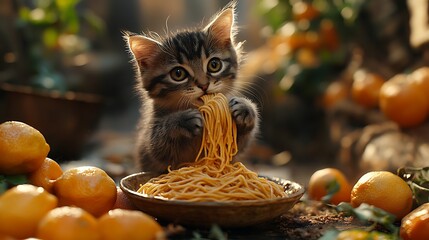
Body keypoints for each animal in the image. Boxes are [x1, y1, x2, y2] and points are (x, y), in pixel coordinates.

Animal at [123, 3, 258, 172]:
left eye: (214, 65)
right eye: (178, 74)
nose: (204, 85)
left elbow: (237, 147)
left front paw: (245, 108)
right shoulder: (151, 142)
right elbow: (159, 144)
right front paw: (182, 120)